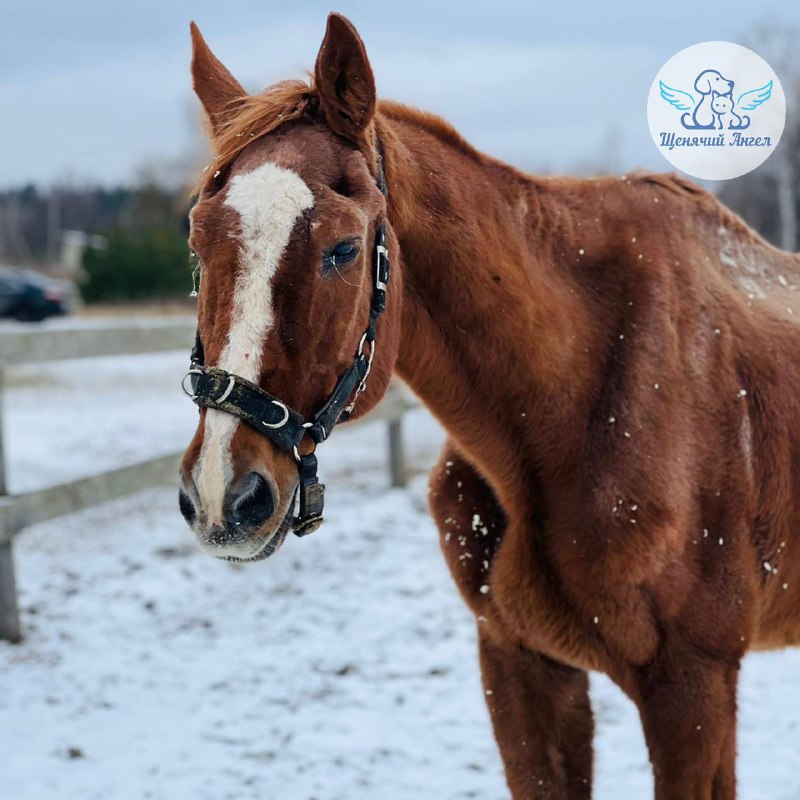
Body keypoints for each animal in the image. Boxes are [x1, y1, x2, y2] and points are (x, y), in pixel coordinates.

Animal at [180, 14, 800, 800]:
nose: (223, 495)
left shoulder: (694, 689)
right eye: (197, 241)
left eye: (343, 249)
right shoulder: (520, 667)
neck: (573, 408)